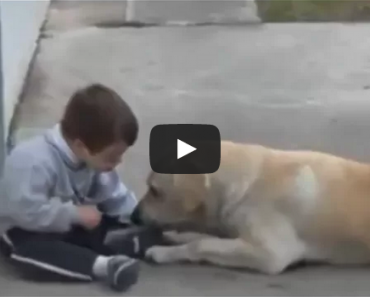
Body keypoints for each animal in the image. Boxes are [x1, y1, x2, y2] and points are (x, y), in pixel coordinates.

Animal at [134, 140, 370, 274]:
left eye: (154, 190)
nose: (134, 215)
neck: (251, 181)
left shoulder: (272, 254)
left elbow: (202, 244)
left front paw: (164, 252)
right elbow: (207, 237)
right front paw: (178, 237)